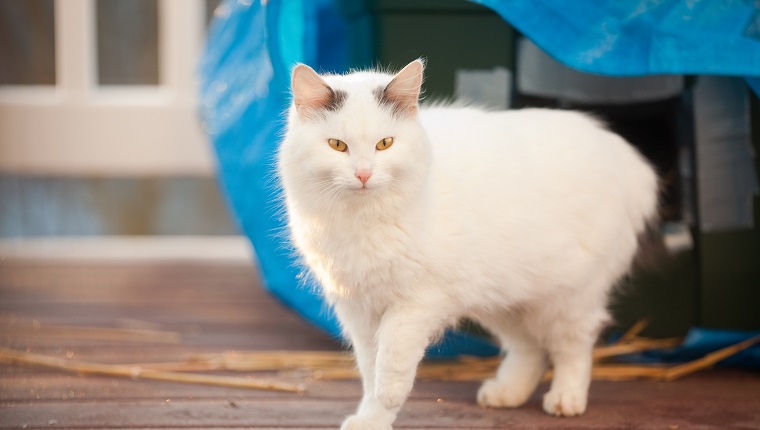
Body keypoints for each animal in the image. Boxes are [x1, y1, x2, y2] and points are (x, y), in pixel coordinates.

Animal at [278, 60, 660, 430]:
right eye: (337, 146)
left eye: (384, 144)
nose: (363, 175)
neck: (361, 220)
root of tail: (620, 151)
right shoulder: (359, 310)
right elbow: (370, 371)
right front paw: (372, 419)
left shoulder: (418, 302)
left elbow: (392, 359)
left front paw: (388, 398)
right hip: (506, 298)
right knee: (531, 350)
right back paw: (507, 394)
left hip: (567, 299)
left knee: (573, 349)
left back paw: (566, 399)